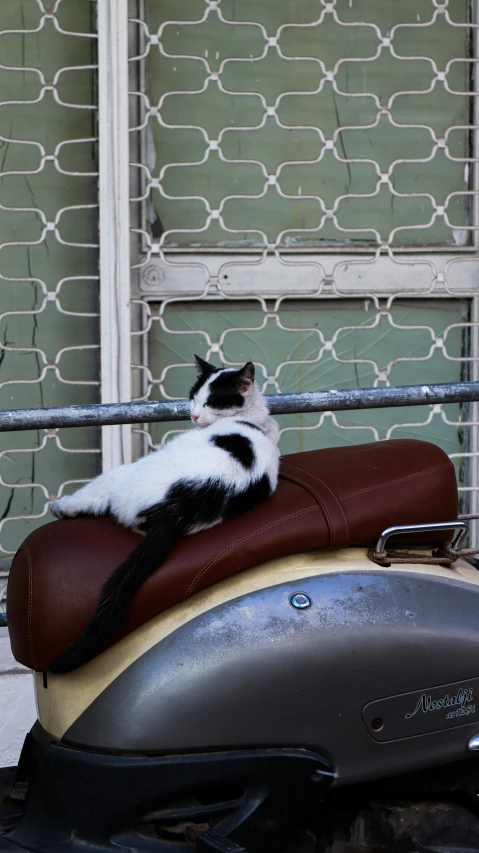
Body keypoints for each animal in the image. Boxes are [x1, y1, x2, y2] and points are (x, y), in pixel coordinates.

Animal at [47, 352, 282, 672]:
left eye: (212, 402)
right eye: (193, 398)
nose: (194, 416)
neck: (251, 419)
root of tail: (178, 508)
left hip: (124, 475)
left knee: (93, 495)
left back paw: (63, 507)